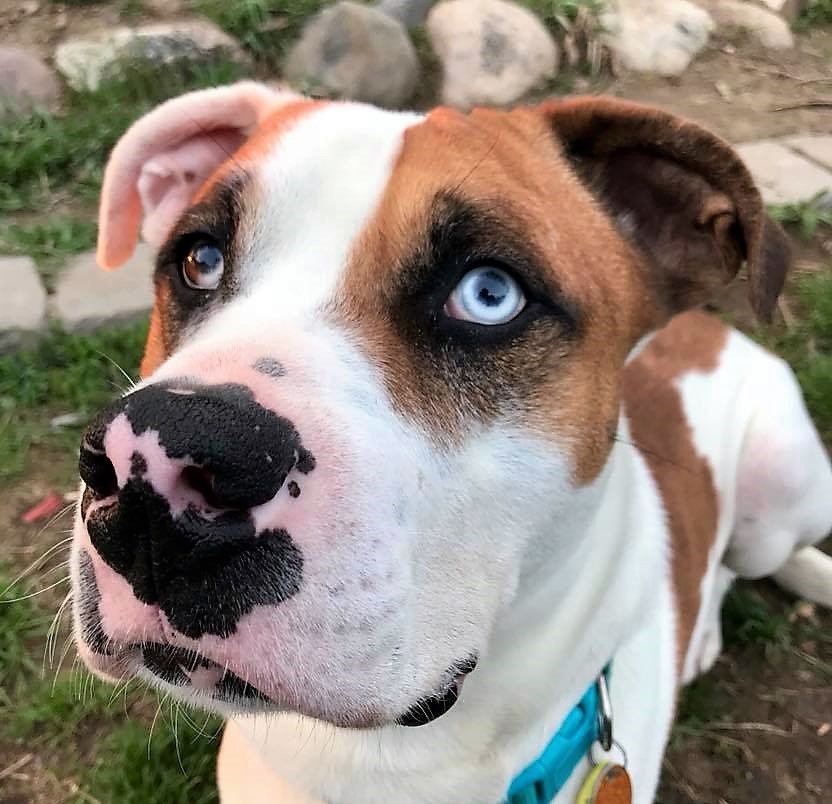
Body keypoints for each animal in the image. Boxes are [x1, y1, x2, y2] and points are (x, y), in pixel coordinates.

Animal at [70, 83, 832, 804]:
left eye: (489, 293)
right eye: (199, 259)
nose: (155, 473)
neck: (394, 763)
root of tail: (707, 325)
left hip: (778, 494)